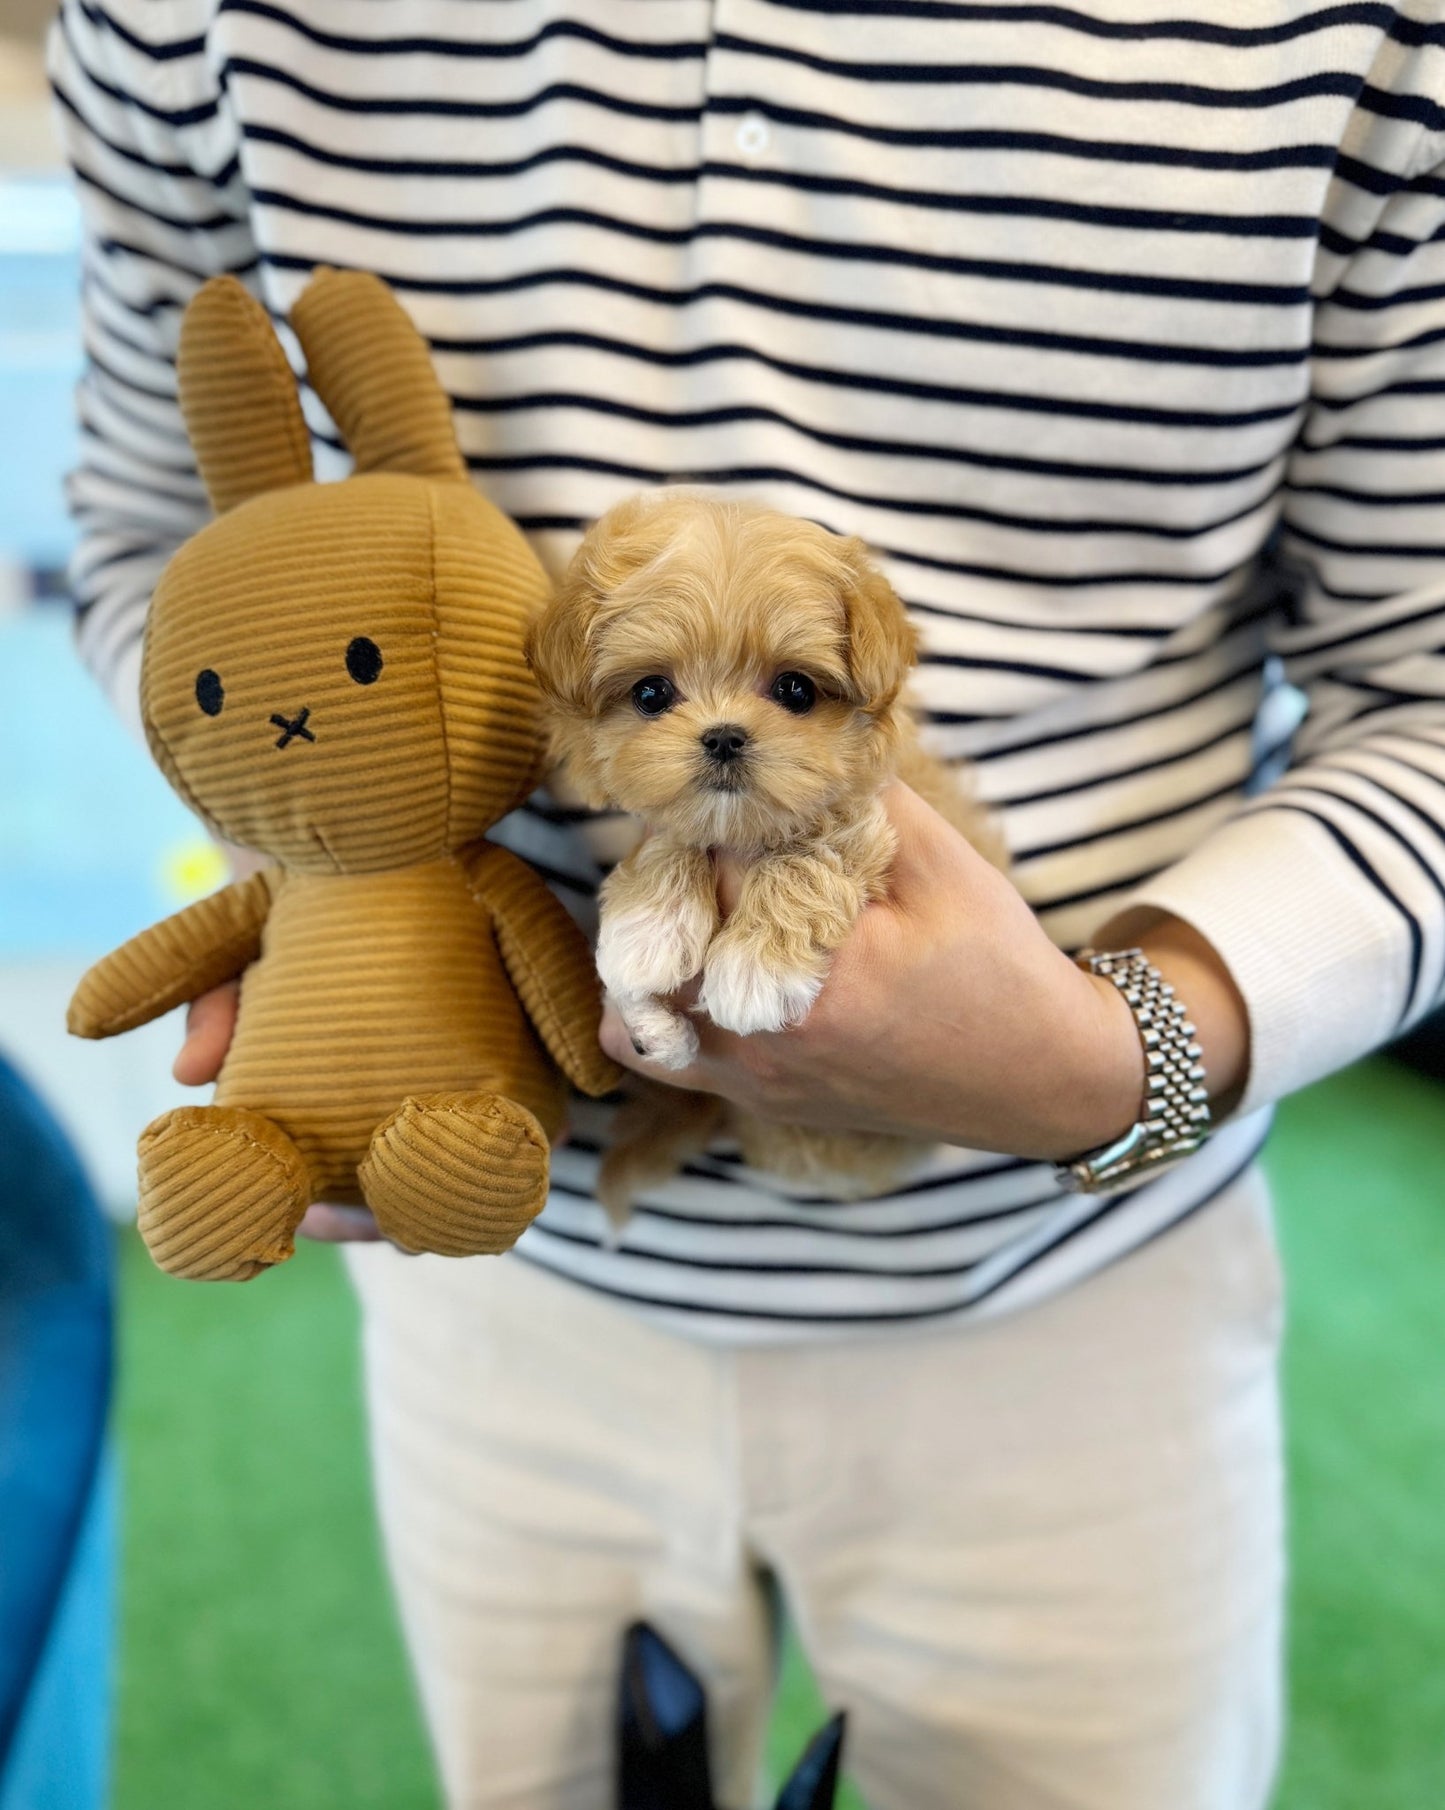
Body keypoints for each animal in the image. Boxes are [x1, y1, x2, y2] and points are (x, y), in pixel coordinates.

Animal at [525, 488, 1014, 1209]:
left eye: (795, 690)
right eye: (651, 693)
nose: (724, 736)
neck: (743, 831)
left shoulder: (874, 818)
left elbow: (818, 846)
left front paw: (758, 964)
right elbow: (675, 832)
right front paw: (648, 927)